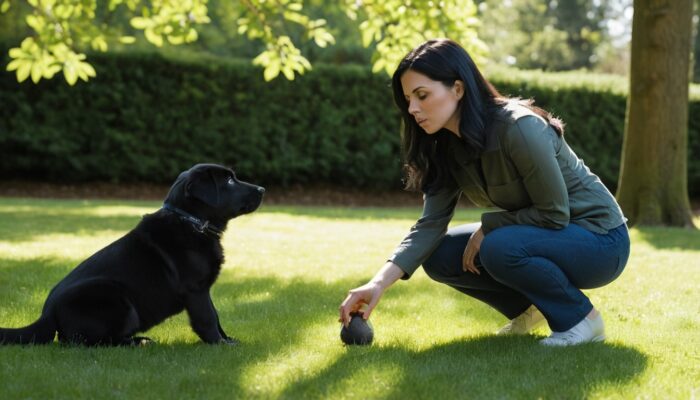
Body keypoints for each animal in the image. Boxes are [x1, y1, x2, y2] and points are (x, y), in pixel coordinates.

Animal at [0, 164, 262, 346]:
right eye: (229, 180)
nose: (262, 189)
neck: (192, 222)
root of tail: (47, 313)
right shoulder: (195, 289)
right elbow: (207, 318)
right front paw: (220, 345)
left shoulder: (203, 288)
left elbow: (216, 316)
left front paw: (228, 339)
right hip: (117, 298)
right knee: (89, 342)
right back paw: (137, 342)